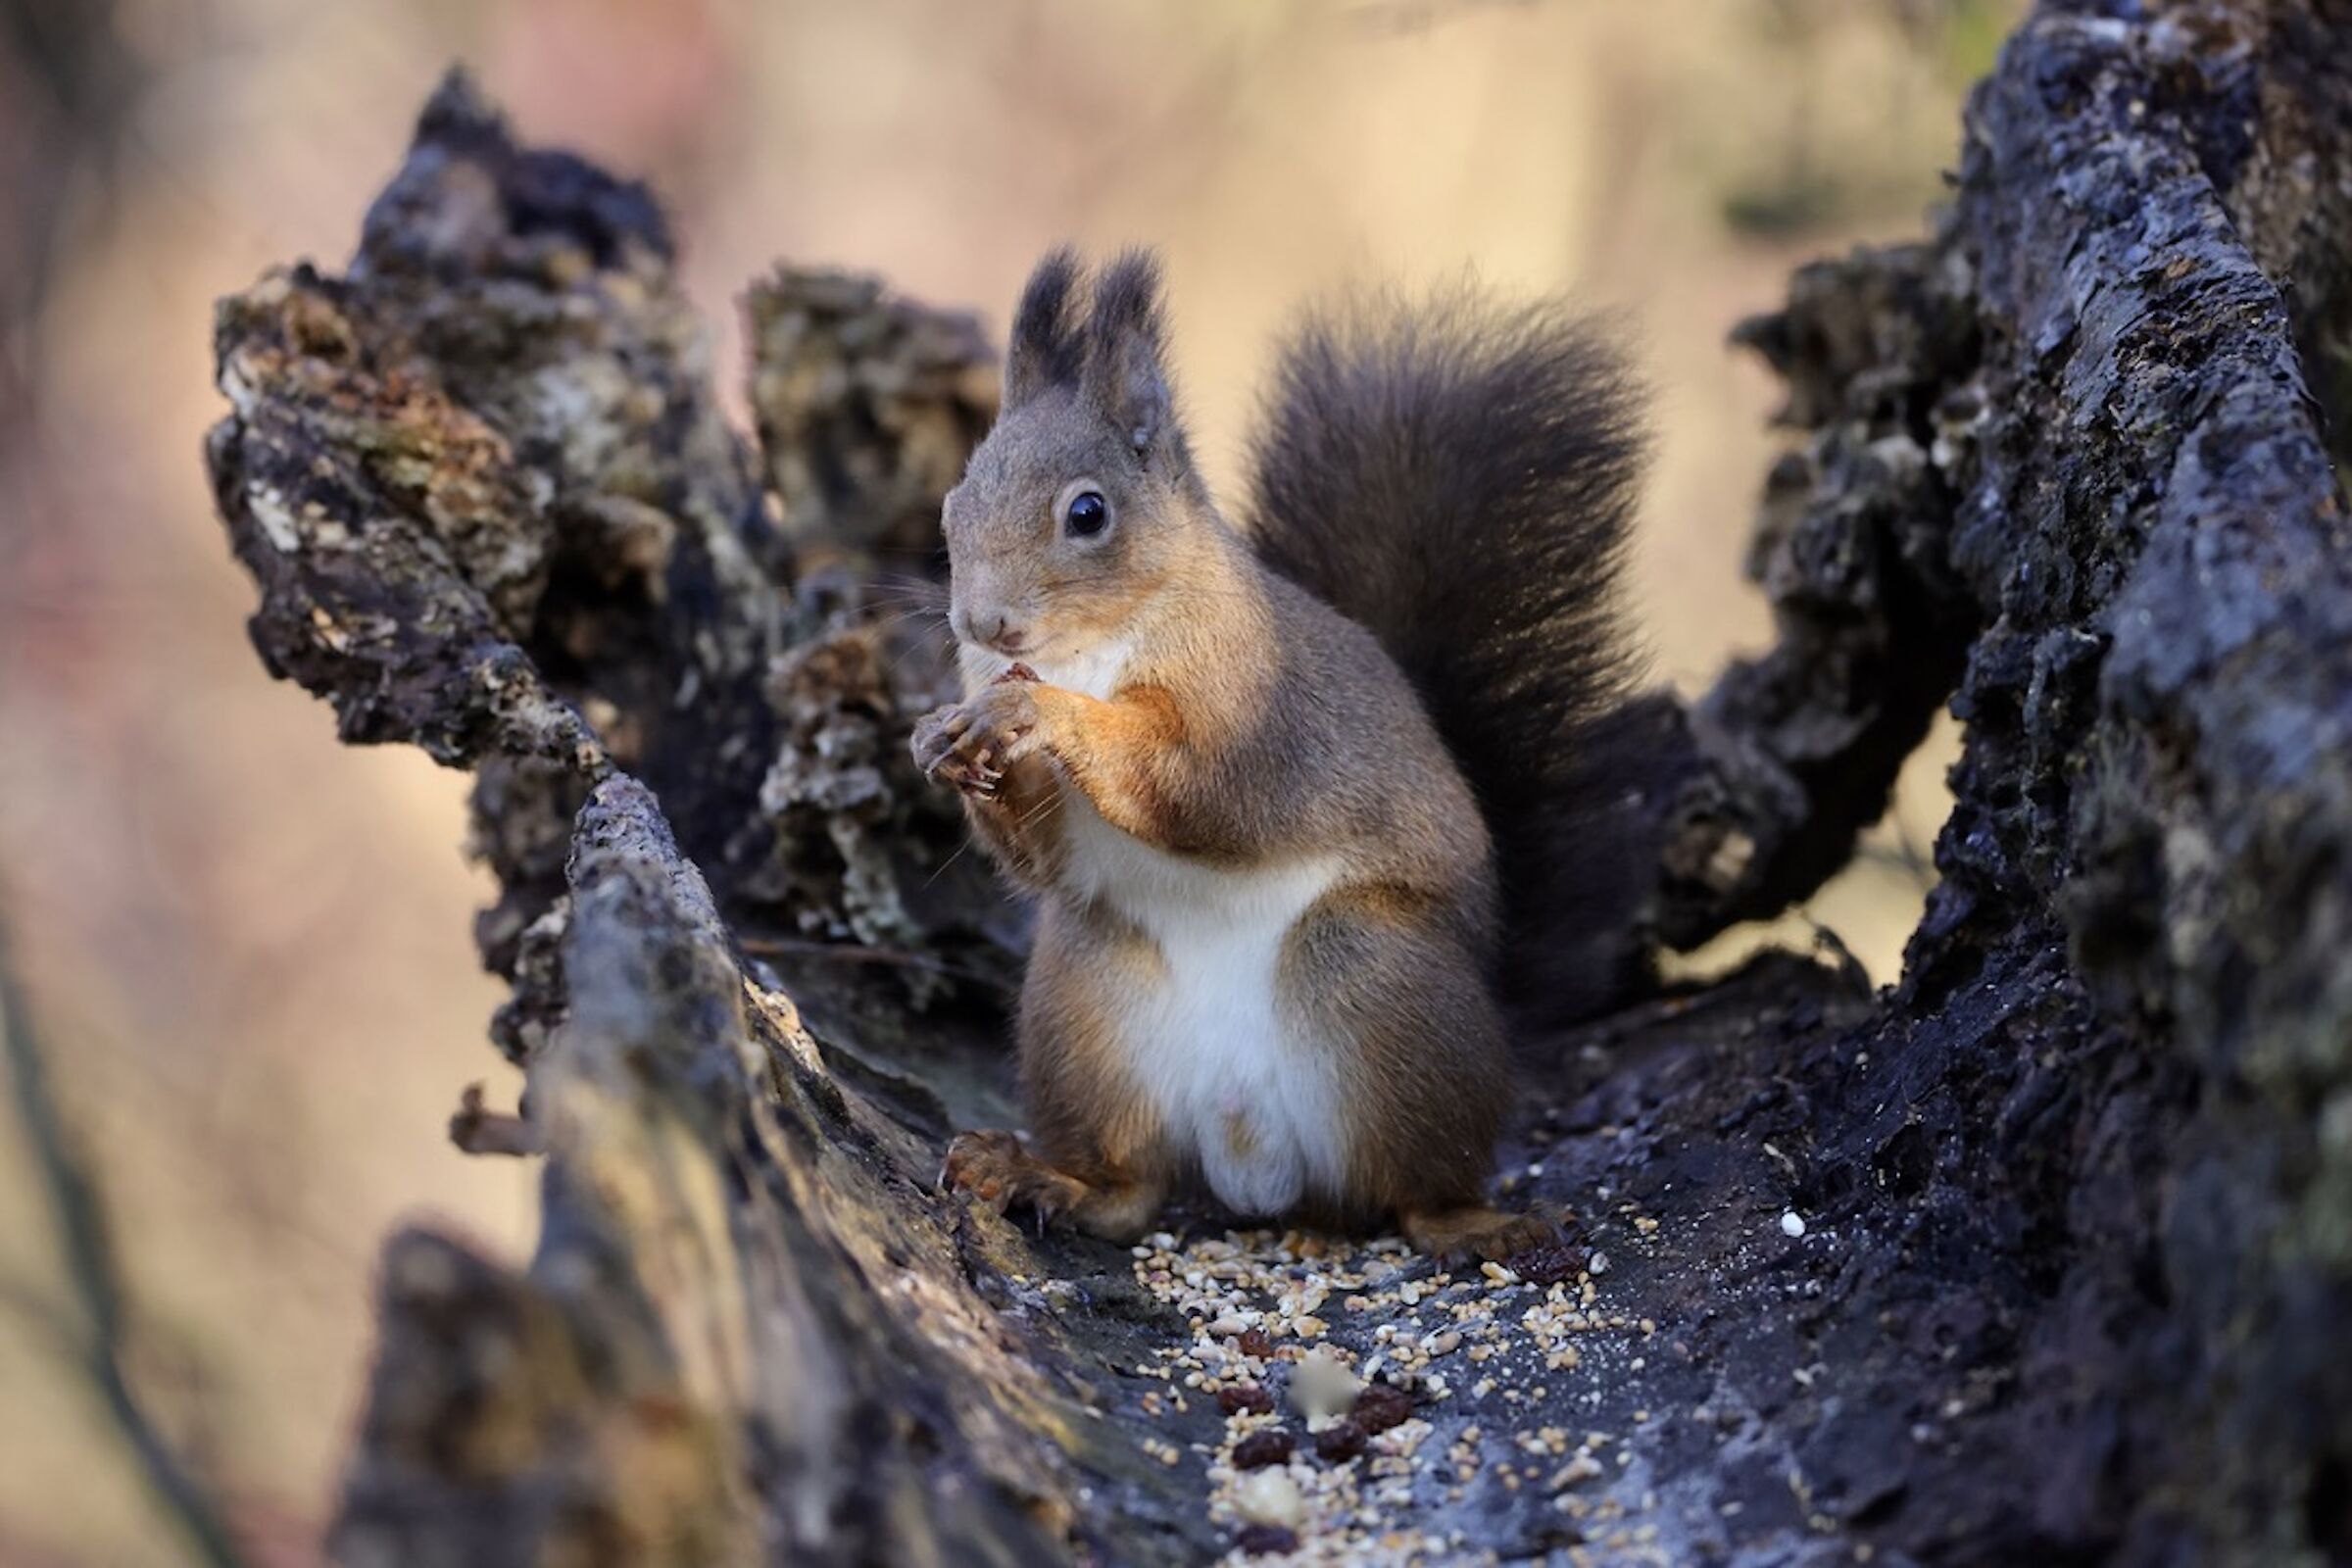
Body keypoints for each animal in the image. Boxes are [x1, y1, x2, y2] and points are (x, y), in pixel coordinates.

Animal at [912, 248, 1645, 1260]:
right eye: (953, 506)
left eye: (1088, 513)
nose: (984, 623)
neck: (1093, 648)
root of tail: (1253, 1165)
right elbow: (1042, 856)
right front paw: (945, 740)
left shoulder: (1255, 723)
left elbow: (1192, 784)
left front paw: (1041, 713)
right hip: (1085, 1005)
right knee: (1131, 1191)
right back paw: (1043, 1176)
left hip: (1377, 980)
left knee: (1414, 1191)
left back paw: (1477, 1221)